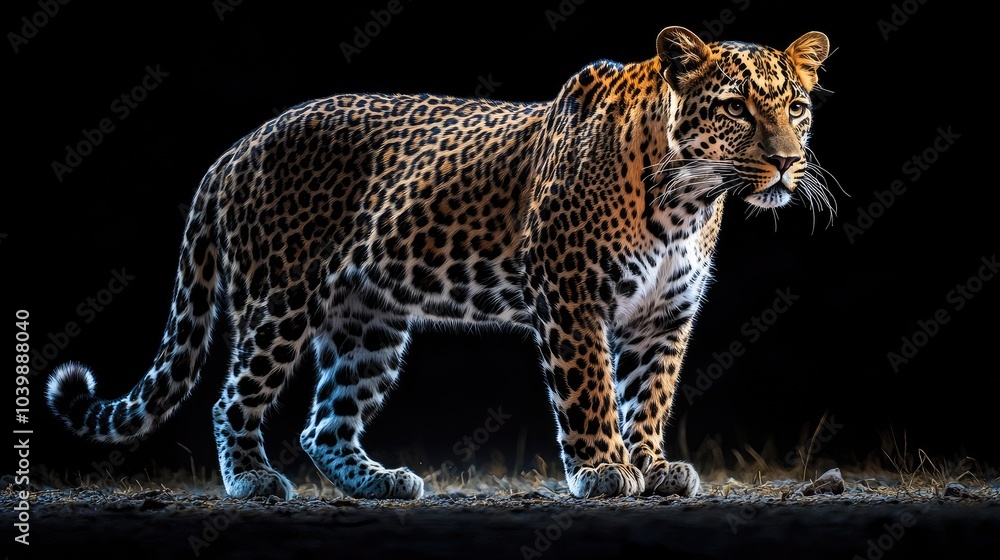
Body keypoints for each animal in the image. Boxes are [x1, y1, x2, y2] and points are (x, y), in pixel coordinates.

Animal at [47, 26, 833, 500]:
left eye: (796, 106)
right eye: (735, 108)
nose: (787, 160)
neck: (689, 200)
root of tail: (234, 150)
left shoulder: (663, 317)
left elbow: (650, 395)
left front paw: (651, 465)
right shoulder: (572, 299)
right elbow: (590, 393)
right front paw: (605, 470)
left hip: (367, 324)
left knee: (324, 421)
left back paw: (380, 484)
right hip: (280, 301)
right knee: (233, 397)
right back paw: (252, 482)